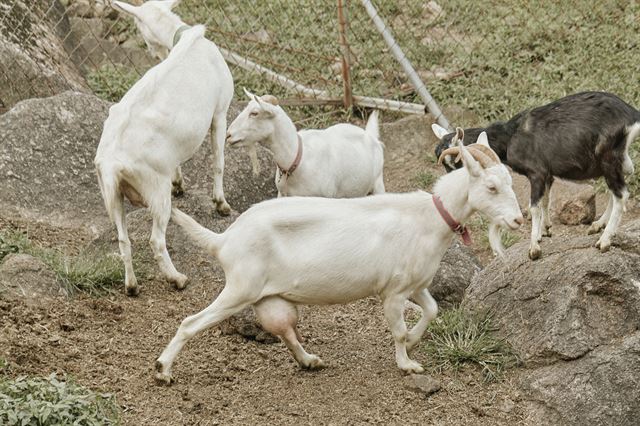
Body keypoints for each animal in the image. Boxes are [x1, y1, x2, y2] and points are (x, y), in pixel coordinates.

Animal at [94, 0, 234, 296]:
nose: (151, 51)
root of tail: (112, 163)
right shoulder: (220, 111)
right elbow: (218, 161)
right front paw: (221, 204)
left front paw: (179, 184)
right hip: (155, 189)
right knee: (156, 240)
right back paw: (177, 279)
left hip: (113, 195)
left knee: (123, 239)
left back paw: (132, 286)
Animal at [155, 132, 524, 382]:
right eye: (491, 187)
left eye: (509, 182)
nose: (518, 220)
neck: (427, 217)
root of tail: (225, 239)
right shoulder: (393, 293)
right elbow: (398, 330)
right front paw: (407, 363)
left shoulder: (416, 285)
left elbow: (432, 310)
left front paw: (415, 341)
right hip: (240, 289)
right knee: (190, 323)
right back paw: (163, 369)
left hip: (267, 297)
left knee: (284, 329)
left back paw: (309, 361)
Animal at [430, 91, 640, 260]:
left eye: (458, 162)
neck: (510, 136)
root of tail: (633, 115)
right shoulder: (547, 174)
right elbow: (545, 201)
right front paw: (544, 231)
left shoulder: (537, 173)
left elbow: (533, 208)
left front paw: (534, 248)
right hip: (617, 159)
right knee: (621, 185)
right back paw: (597, 225)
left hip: (608, 156)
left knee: (622, 194)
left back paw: (604, 241)